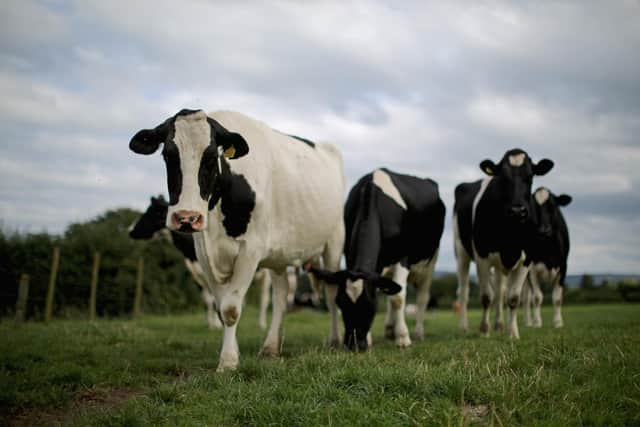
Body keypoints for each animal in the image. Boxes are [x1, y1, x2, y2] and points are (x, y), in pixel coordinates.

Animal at [127, 196, 222, 330]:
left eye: (148, 214)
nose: (130, 230)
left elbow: (216, 299)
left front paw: (218, 324)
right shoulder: (197, 275)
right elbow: (208, 299)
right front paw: (210, 324)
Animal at [310, 169, 444, 352]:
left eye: (369, 304)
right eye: (340, 303)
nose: (354, 345)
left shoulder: (403, 258)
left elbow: (398, 298)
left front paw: (403, 338)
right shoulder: (350, 256)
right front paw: (372, 338)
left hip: (430, 261)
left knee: (422, 297)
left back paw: (417, 333)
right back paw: (389, 330)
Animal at [452, 149, 552, 340]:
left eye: (530, 176)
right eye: (503, 178)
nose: (517, 211)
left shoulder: (527, 258)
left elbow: (512, 298)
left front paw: (512, 333)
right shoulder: (482, 255)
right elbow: (486, 296)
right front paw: (484, 330)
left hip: (499, 266)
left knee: (500, 291)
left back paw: (499, 325)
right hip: (461, 252)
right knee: (464, 292)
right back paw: (463, 327)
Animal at [524, 186, 572, 328]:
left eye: (553, 206)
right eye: (533, 207)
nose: (543, 230)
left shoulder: (563, 267)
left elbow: (557, 298)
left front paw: (558, 322)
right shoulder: (531, 269)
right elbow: (537, 297)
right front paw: (537, 322)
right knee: (524, 298)